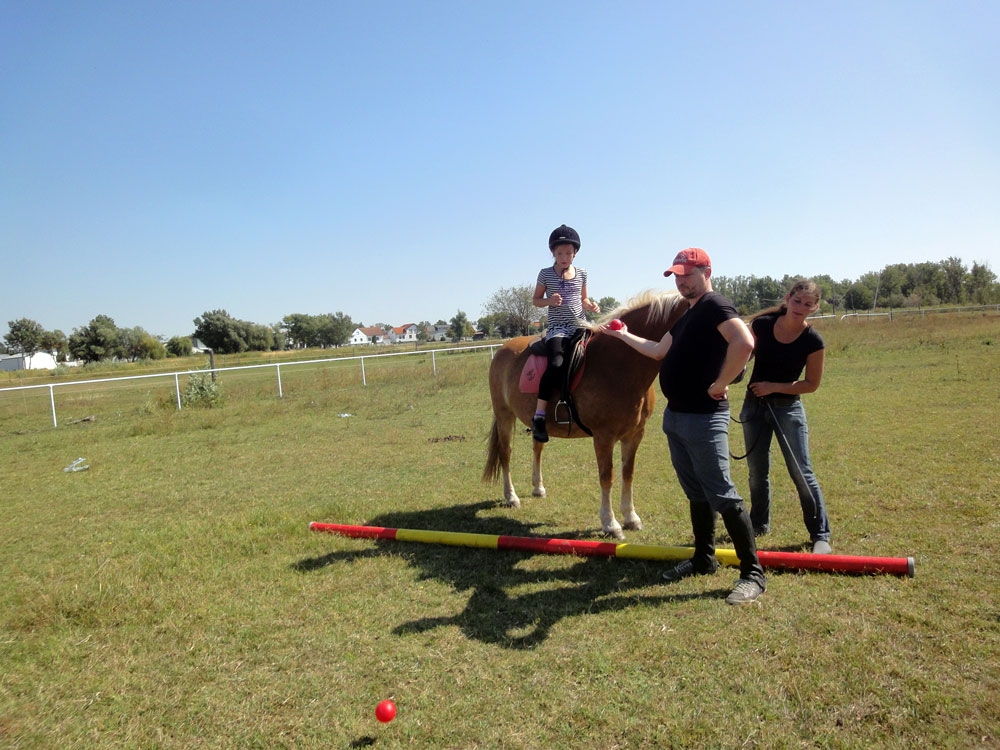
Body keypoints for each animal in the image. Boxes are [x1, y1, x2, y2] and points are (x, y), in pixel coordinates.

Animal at [482, 290, 688, 540]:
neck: (621, 363)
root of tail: (503, 349)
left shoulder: (635, 434)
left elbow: (628, 474)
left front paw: (630, 517)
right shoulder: (603, 437)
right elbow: (607, 477)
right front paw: (610, 524)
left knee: (537, 448)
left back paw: (538, 488)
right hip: (504, 416)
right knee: (505, 454)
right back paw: (511, 497)